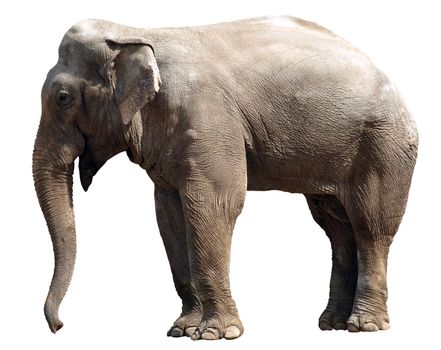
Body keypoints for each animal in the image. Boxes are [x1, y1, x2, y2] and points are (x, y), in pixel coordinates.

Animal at [32, 15, 418, 340]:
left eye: (63, 98)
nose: (58, 326)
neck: (136, 31)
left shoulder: (208, 118)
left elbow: (215, 204)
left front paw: (215, 334)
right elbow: (169, 214)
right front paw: (181, 330)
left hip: (384, 146)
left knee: (370, 226)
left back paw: (364, 326)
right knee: (336, 229)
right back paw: (332, 324)